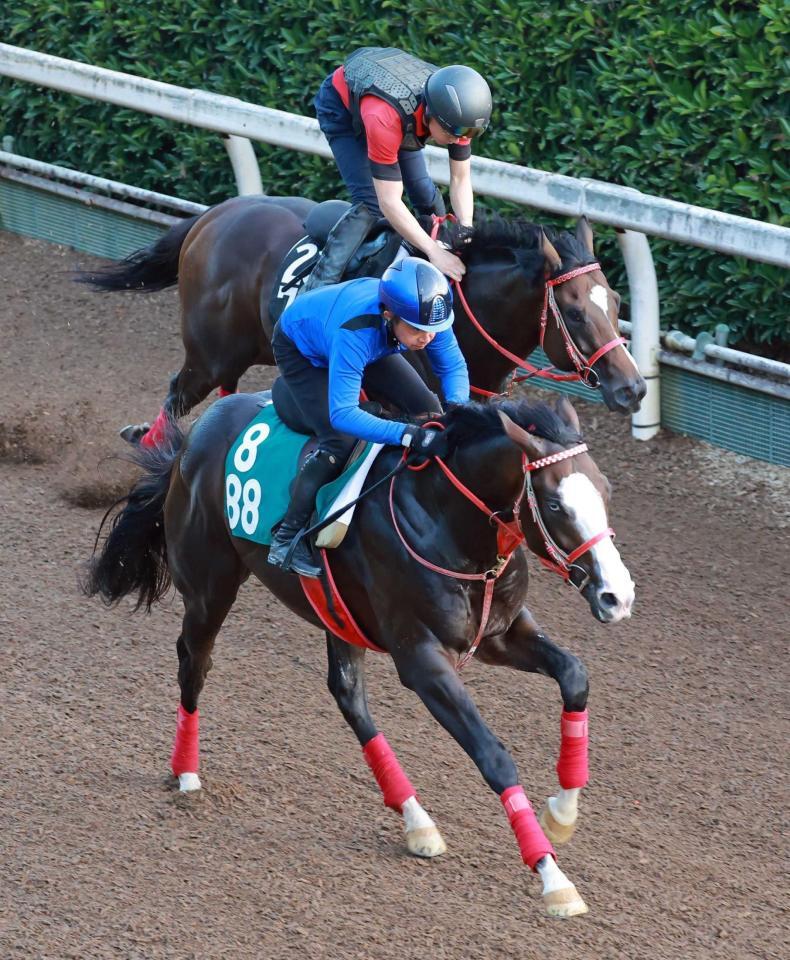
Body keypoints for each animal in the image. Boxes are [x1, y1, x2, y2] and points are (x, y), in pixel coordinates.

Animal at [79, 196, 648, 442]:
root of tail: (212, 216)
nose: (634, 388)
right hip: (208, 355)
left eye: (618, 304)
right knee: (176, 396)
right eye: (573, 311)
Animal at [85, 394, 636, 920]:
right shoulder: (421, 659)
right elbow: (494, 756)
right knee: (194, 664)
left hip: (336, 613)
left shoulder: (499, 634)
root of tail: (195, 433)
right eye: (556, 505)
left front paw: (562, 814)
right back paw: (186, 774)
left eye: (608, 490)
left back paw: (416, 821)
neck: (447, 523)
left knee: (348, 695)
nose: (618, 596)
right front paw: (553, 878)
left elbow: (575, 675)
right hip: (209, 585)